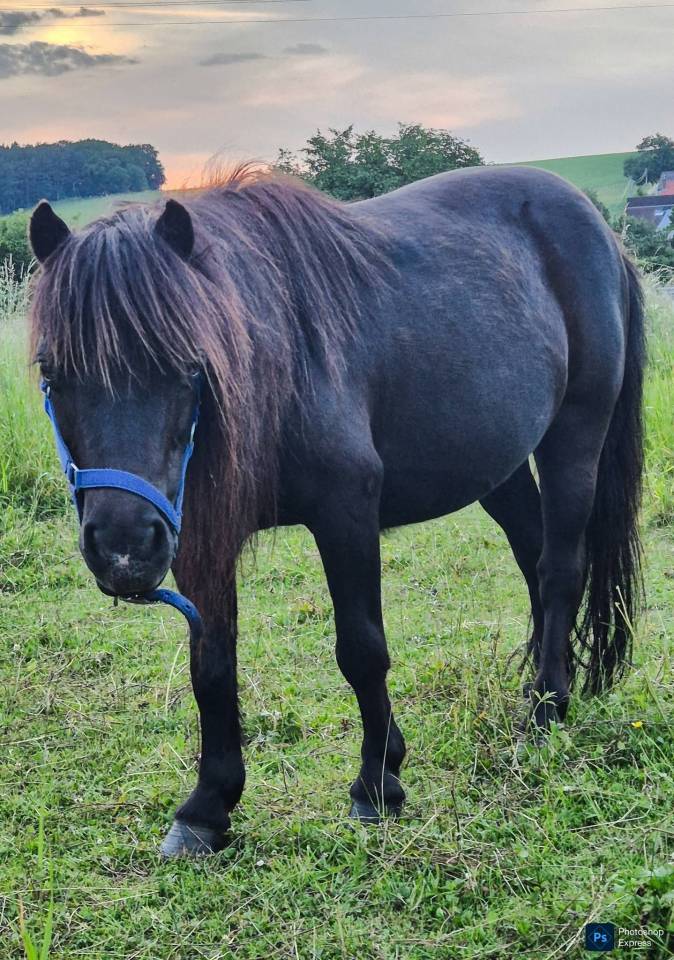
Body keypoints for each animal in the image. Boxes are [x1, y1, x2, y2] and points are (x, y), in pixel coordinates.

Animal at [28, 164, 644, 858]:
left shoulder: (346, 512)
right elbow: (211, 665)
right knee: (534, 559)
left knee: (560, 569)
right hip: (501, 464)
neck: (278, 361)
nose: (124, 550)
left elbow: (362, 649)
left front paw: (378, 784)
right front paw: (209, 806)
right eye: (53, 371)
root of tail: (596, 226)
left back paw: (543, 712)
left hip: (575, 437)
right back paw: (543, 688)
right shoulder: (199, 534)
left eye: (189, 365)